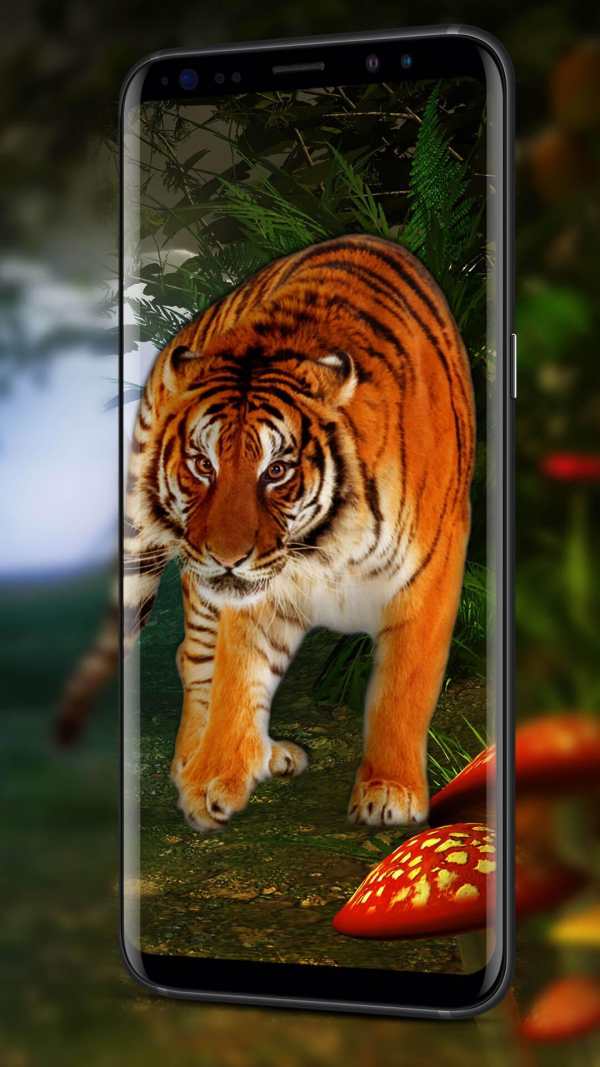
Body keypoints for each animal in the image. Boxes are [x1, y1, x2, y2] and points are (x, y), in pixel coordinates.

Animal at [60, 233, 475, 831]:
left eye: (276, 470)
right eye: (202, 464)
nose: (225, 556)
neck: (326, 546)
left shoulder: (428, 576)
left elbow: (403, 687)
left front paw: (389, 793)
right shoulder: (254, 593)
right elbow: (238, 678)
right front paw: (211, 779)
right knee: (192, 656)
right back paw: (194, 761)